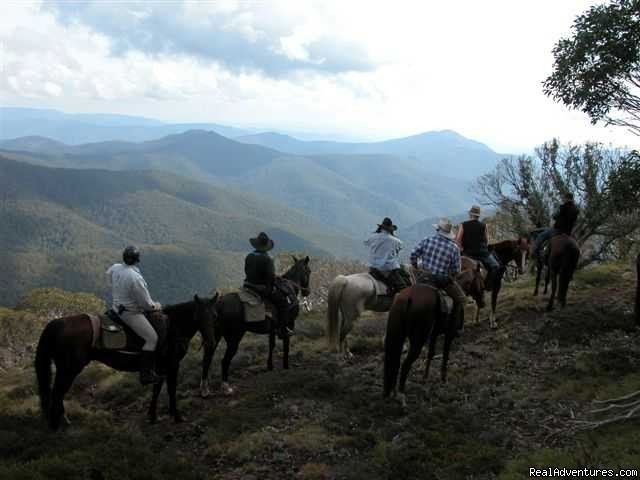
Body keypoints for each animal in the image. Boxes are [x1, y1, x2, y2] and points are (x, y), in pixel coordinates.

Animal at [35, 292, 220, 432]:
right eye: (198, 316)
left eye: (215, 315)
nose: (211, 341)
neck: (174, 327)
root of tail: (56, 323)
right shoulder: (172, 365)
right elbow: (171, 389)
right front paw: (177, 416)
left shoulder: (160, 368)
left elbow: (157, 389)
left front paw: (152, 416)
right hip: (69, 369)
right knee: (57, 393)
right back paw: (56, 425)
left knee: (57, 393)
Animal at [199, 255, 312, 398]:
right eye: (309, 271)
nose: (307, 292)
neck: (291, 286)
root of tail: (218, 304)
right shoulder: (289, 323)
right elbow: (286, 344)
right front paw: (286, 366)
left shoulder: (273, 329)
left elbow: (271, 345)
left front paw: (270, 366)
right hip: (234, 337)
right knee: (224, 360)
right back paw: (226, 387)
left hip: (216, 335)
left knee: (207, 358)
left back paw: (204, 389)